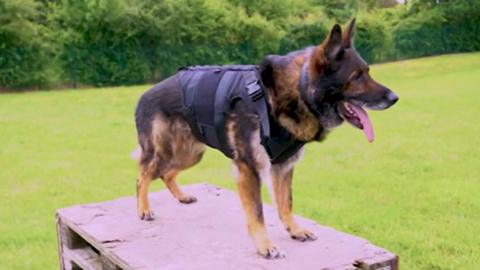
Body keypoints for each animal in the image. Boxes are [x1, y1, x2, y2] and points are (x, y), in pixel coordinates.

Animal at [134, 19, 398, 260]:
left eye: (367, 72)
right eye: (357, 76)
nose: (395, 98)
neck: (296, 91)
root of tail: (143, 96)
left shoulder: (283, 167)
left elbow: (286, 203)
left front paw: (295, 230)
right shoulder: (249, 169)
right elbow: (258, 212)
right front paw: (265, 246)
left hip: (190, 155)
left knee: (166, 174)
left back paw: (181, 196)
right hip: (164, 153)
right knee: (143, 176)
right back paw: (144, 209)